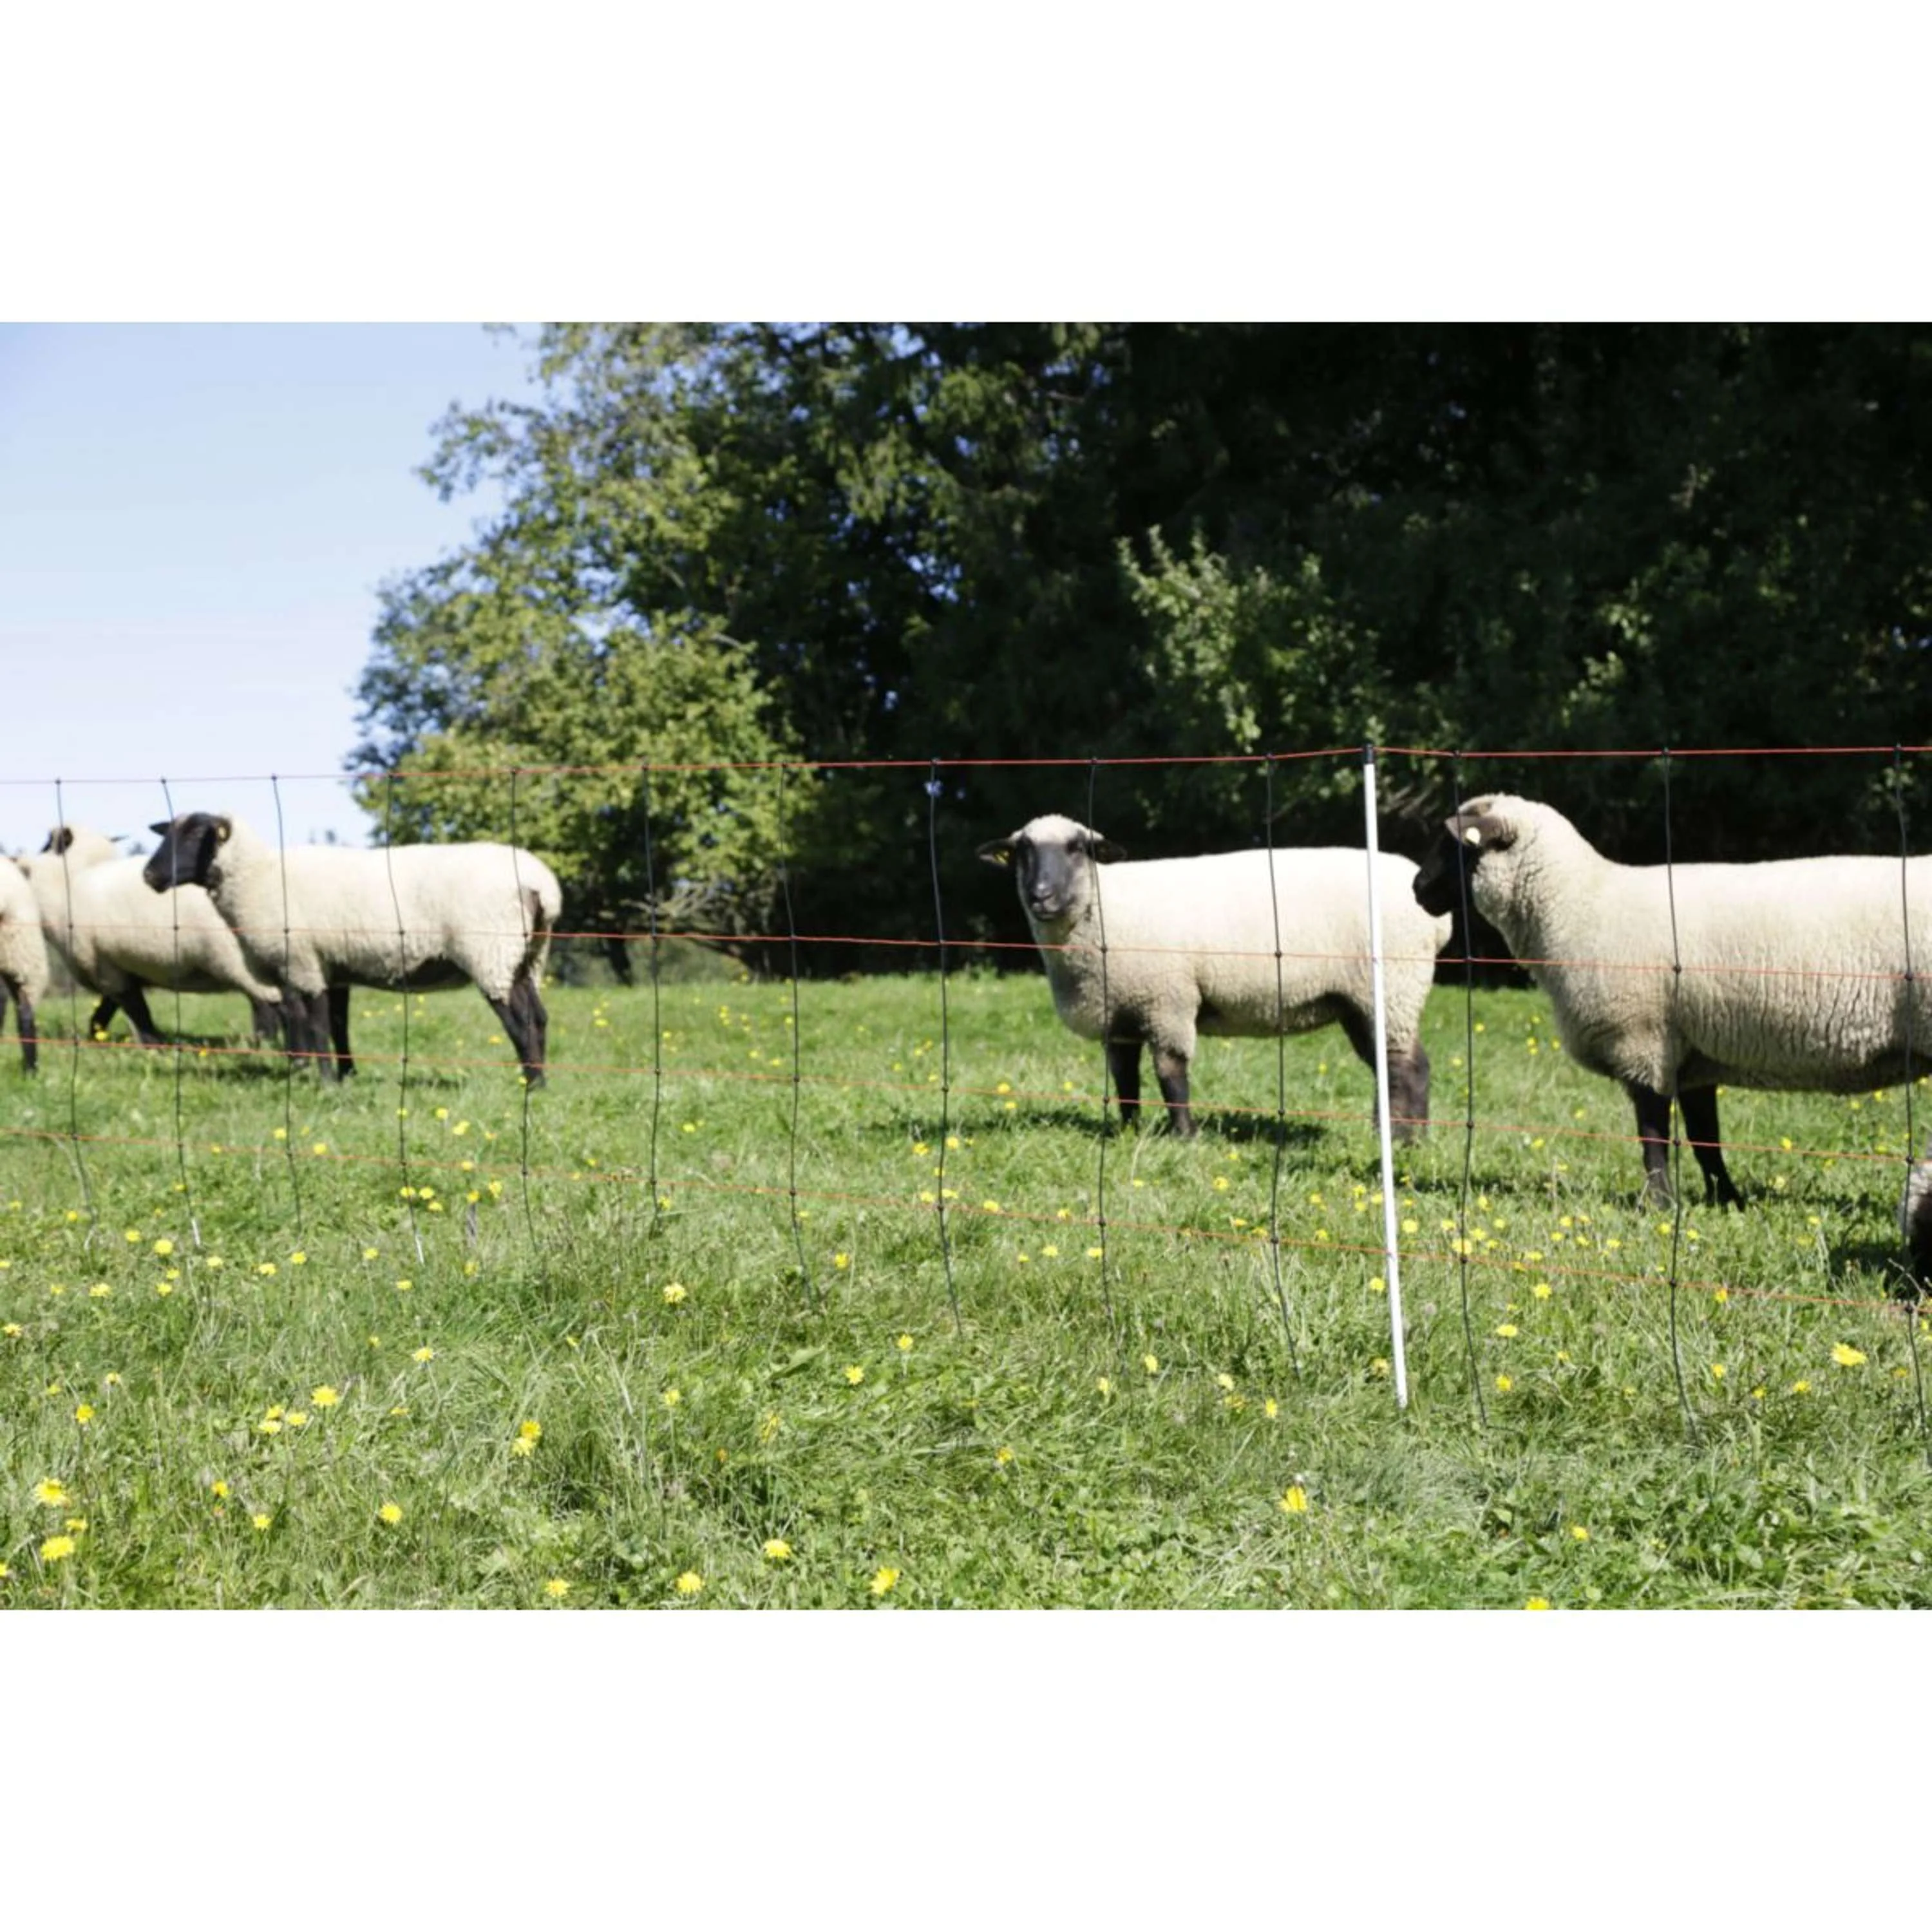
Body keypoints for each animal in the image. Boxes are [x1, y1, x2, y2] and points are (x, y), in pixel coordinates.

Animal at [17, 826, 283, 1048]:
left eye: (45, 846)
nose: (18, 861)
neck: (69, 885)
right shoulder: (119, 968)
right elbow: (106, 1011)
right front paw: (97, 1039)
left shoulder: (105, 967)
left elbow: (137, 1011)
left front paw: (152, 1044)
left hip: (236, 960)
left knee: (266, 1005)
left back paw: (263, 1045)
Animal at [143, 811, 563, 1085]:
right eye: (166, 835)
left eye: (196, 837)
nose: (149, 875)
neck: (257, 877)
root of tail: (542, 885)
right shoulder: (333, 967)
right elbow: (337, 1024)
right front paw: (347, 1074)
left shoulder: (302, 962)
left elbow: (312, 1024)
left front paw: (324, 1081)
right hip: (525, 957)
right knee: (539, 1016)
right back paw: (540, 1081)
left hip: (490, 952)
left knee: (520, 1020)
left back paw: (532, 1084)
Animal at [979, 813, 1452, 1138]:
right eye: (1023, 852)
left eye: (1077, 848)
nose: (1041, 896)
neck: (1104, 909)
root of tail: (1436, 921)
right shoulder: (1122, 1013)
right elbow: (1125, 1079)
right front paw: (1129, 1131)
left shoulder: (1167, 1001)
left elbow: (1171, 1073)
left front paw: (1185, 1136)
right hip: (1363, 1000)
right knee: (1394, 1064)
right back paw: (1398, 1135)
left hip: (1392, 987)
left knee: (1407, 1067)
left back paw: (1404, 1139)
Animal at [1412, 792, 1932, 1210]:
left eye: (1456, 846)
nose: (1417, 889)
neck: (1575, 905)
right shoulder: (1693, 1049)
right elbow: (1706, 1138)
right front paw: (1727, 1201)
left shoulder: (1642, 1040)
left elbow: (1653, 1134)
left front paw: (1659, 1204)